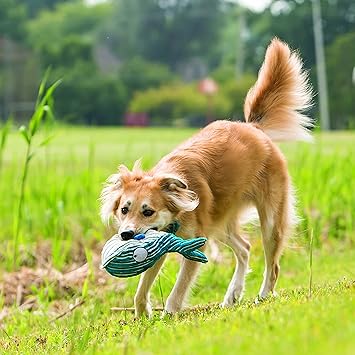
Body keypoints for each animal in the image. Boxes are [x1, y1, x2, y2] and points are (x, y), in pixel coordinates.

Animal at [100, 39, 312, 320]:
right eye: (124, 209)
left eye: (148, 211)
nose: (126, 235)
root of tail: (254, 129)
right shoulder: (158, 244)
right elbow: (141, 288)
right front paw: (143, 313)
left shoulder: (193, 245)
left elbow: (178, 289)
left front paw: (169, 313)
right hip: (219, 223)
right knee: (244, 248)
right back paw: (233, 294)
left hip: (269, 221)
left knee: (272, 265)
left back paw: (264, 294)